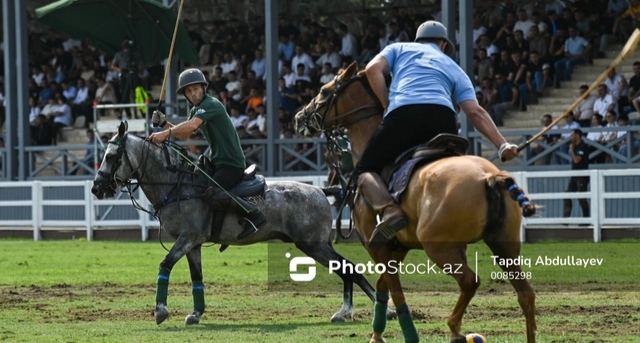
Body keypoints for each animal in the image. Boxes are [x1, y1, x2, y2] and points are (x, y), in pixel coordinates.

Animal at [90, 123, 390, 326]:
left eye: (111, 156)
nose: (96, 188)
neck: (178, 185)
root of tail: (320, 190)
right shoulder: (193, 244)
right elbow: (197, 277)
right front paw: (196, 313)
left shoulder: (187, 238)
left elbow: (165, 265)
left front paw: (161, 311)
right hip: (316, 245)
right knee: (347, 269)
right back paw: (347, 311)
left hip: (313, 245)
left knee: (349, 269)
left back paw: (377, 309)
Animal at [298, 62, 536, 343]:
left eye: (325, 91)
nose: (300, 117)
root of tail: (489, 176)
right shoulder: (398, 248)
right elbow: (382, 286)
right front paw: (376, 334)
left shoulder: (377, 248)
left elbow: (396, 293)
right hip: (504, 247)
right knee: (526, 295)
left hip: (440, 248)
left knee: (470, 281)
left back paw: (455, 327)